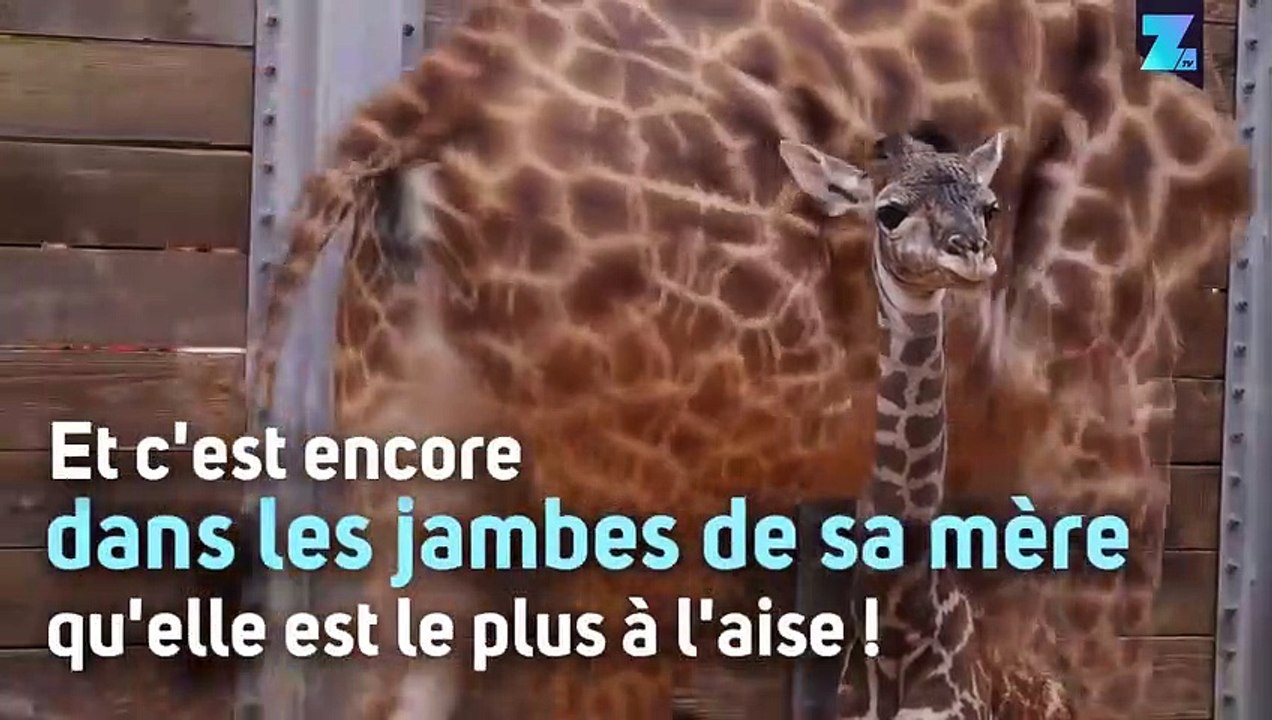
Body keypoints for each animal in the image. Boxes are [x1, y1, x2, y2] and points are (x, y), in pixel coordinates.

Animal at [250, 0, 1251, 717]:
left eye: (987, 207)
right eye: (889, 209)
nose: (972, 253)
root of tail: (435, 88)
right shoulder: (1105, 407)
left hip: (410, 433)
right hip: (647, 486)